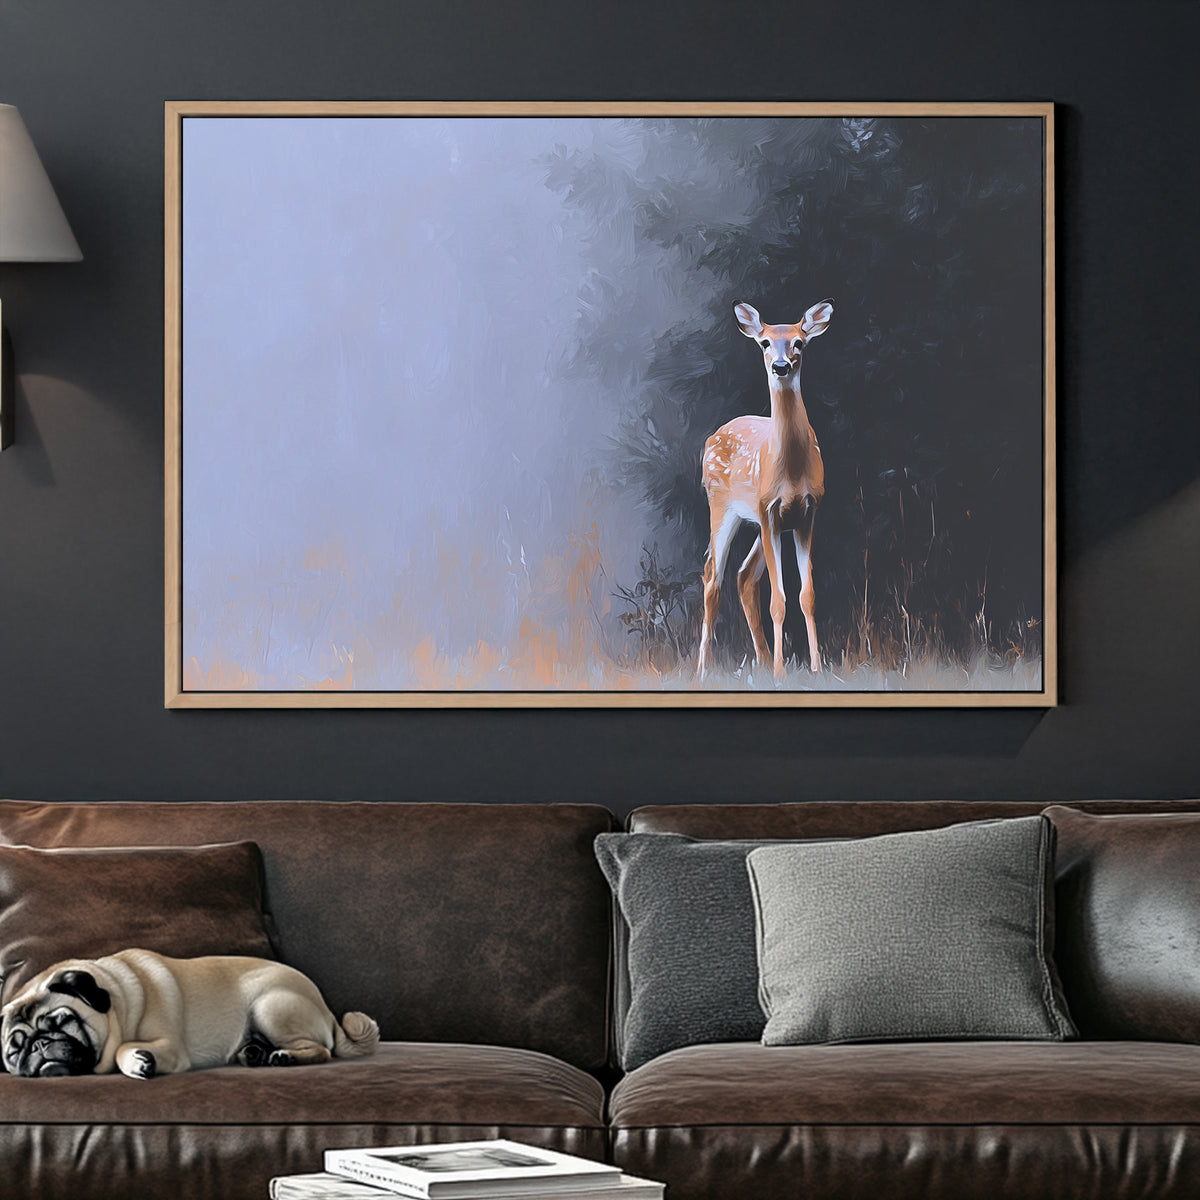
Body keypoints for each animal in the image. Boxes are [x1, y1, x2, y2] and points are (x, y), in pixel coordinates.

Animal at [696, 299, 833, 683]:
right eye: (765, 343)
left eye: (799, 342)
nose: (781, 366)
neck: (792, 472)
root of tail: (713, 436)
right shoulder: (770, 510)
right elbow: (778, 599)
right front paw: (780, 673)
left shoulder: (805, 513)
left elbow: (807, 595)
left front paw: (816, 668)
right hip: (722, 507)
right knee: (712, 577)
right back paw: (702, 671)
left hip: (758, 521)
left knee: (744, 576)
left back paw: (760, 658)